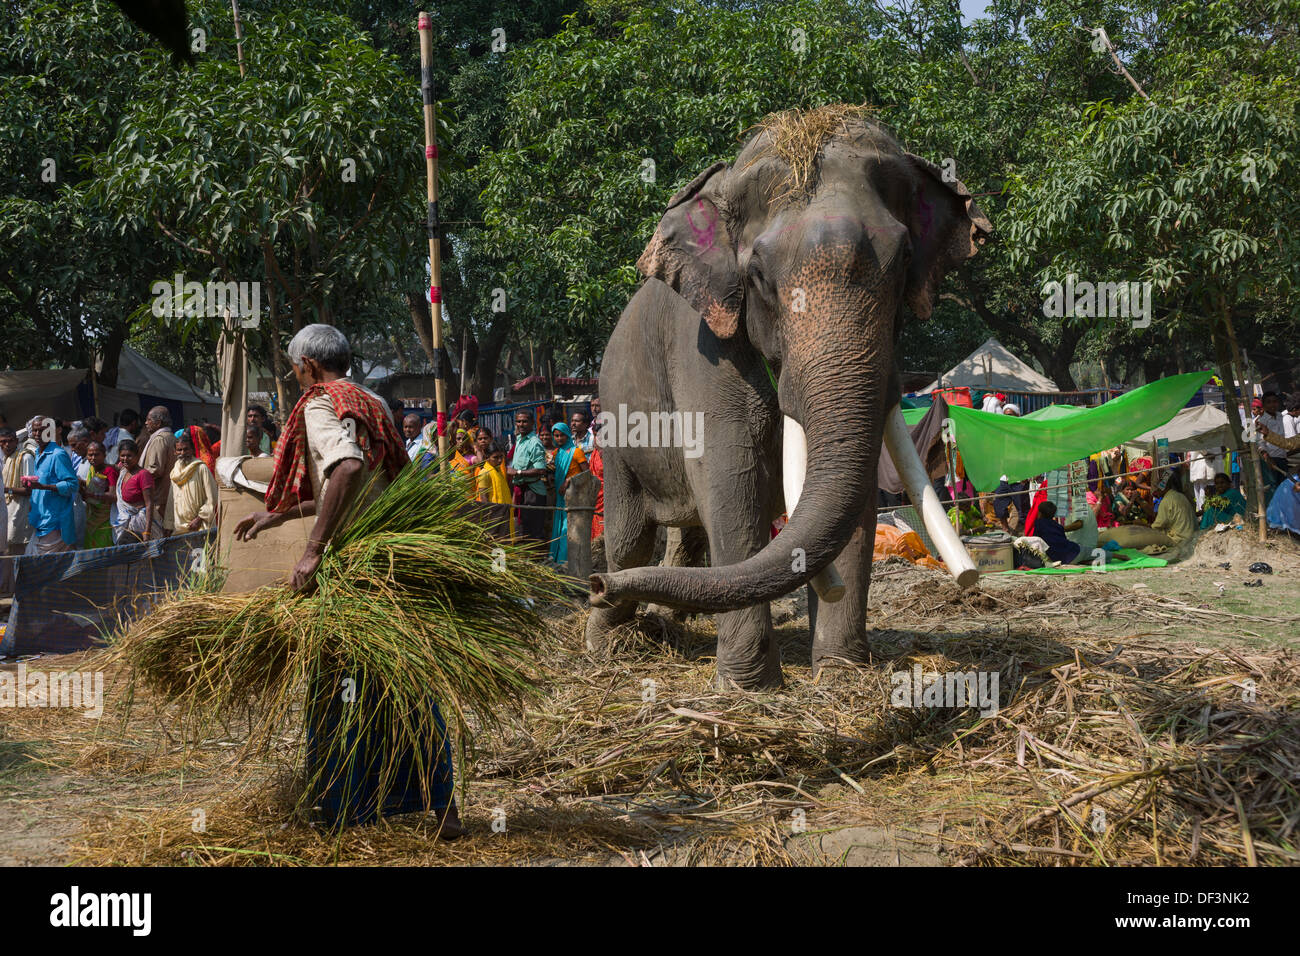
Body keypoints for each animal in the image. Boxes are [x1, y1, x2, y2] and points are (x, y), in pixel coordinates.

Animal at [585, 106, 987, 686]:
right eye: (756, 276)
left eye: (906, 258)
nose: (591, 587)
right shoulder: (705, 348)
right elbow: (730, 478)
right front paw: (747, 687)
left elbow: (859, 497)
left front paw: (840, 672)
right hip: (613, 430)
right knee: (627, 536)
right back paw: (605, 644)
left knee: (687, 534)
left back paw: (661, 619)